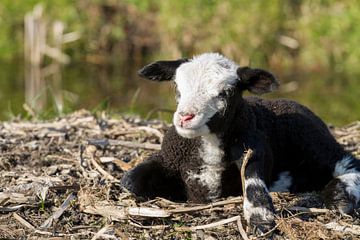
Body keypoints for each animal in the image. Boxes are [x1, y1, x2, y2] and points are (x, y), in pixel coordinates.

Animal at [121, 52, 360, 232]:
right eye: (178, 89)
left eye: (225, 93)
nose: (185, 117)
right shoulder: (168, 158)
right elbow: (130, 182)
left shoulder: (254, 150)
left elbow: (254, 186)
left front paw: (260, 219)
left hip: (315, 144)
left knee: (349, 163)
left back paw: (340, 195)